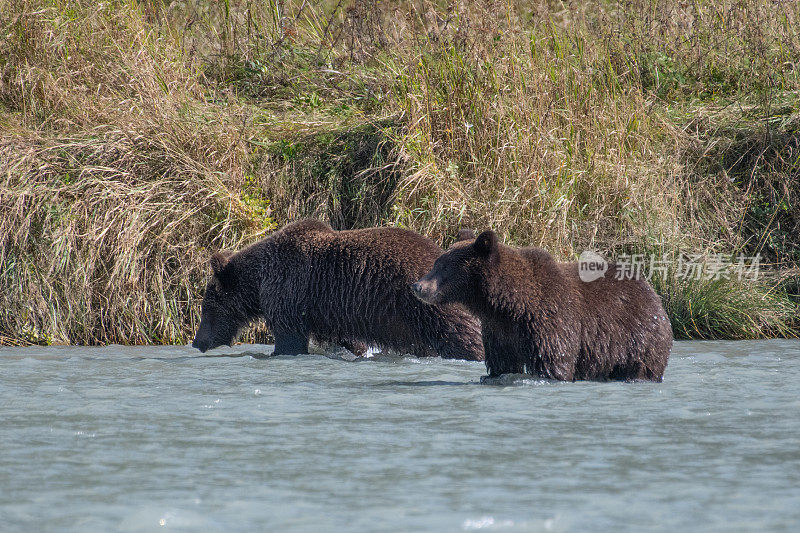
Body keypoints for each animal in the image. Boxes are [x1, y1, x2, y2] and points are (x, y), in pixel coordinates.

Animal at [191, 218, 484, 360]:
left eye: (207, 308)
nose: (197, 342)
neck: (260, 280)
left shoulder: (289, 293)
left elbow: (290, 339)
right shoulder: (330, 313)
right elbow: (347, 342)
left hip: (425, 303)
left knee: (460, 335)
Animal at [410, 231, 672, 380]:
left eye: (443, 266)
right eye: (436, 263)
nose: (418, 286)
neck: (508, 305)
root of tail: (652, 291)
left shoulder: (550, 320)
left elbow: (553, 362)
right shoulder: (500, 331)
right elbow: (502, 363)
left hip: (638, 337)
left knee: (642, 367)